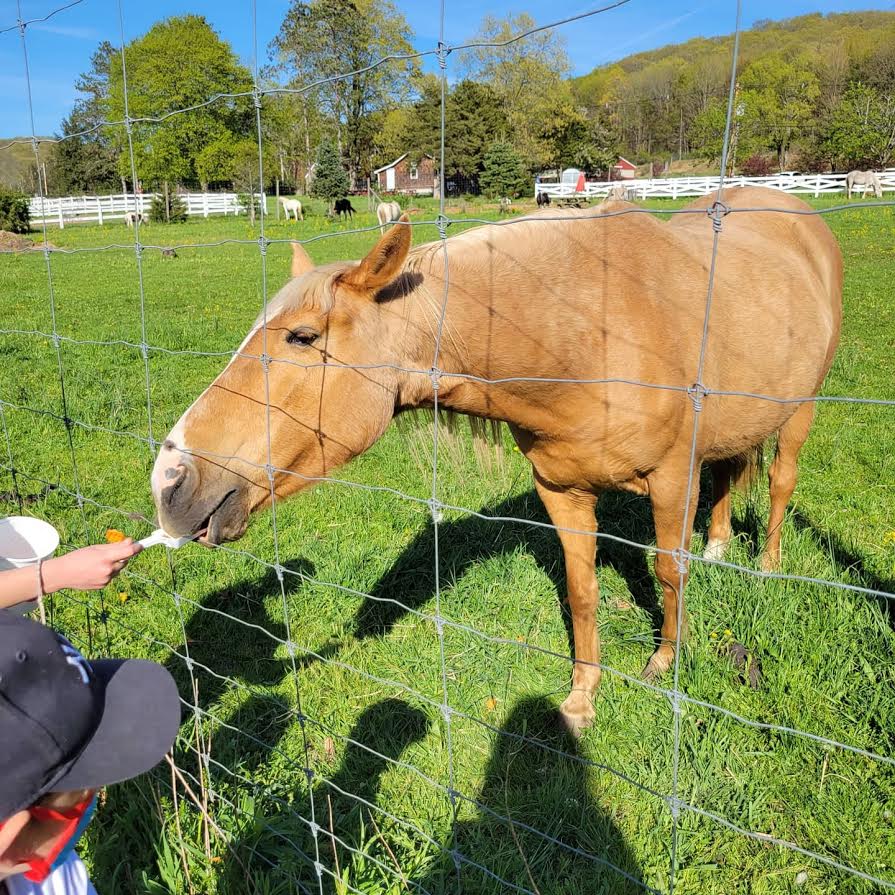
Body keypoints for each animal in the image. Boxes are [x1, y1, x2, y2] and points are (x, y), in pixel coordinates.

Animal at [150, 187, 844, 736]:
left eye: (302, 337)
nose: (169, 481)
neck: (589, 330)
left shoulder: (673, 480)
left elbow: (669, 573)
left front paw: (664, 663)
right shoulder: (561, 491)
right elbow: (583, 592)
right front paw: (582, 700)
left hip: (802, 410)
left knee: (779, 482)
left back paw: (767, 567)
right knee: (728, 475)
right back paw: (721, 546)